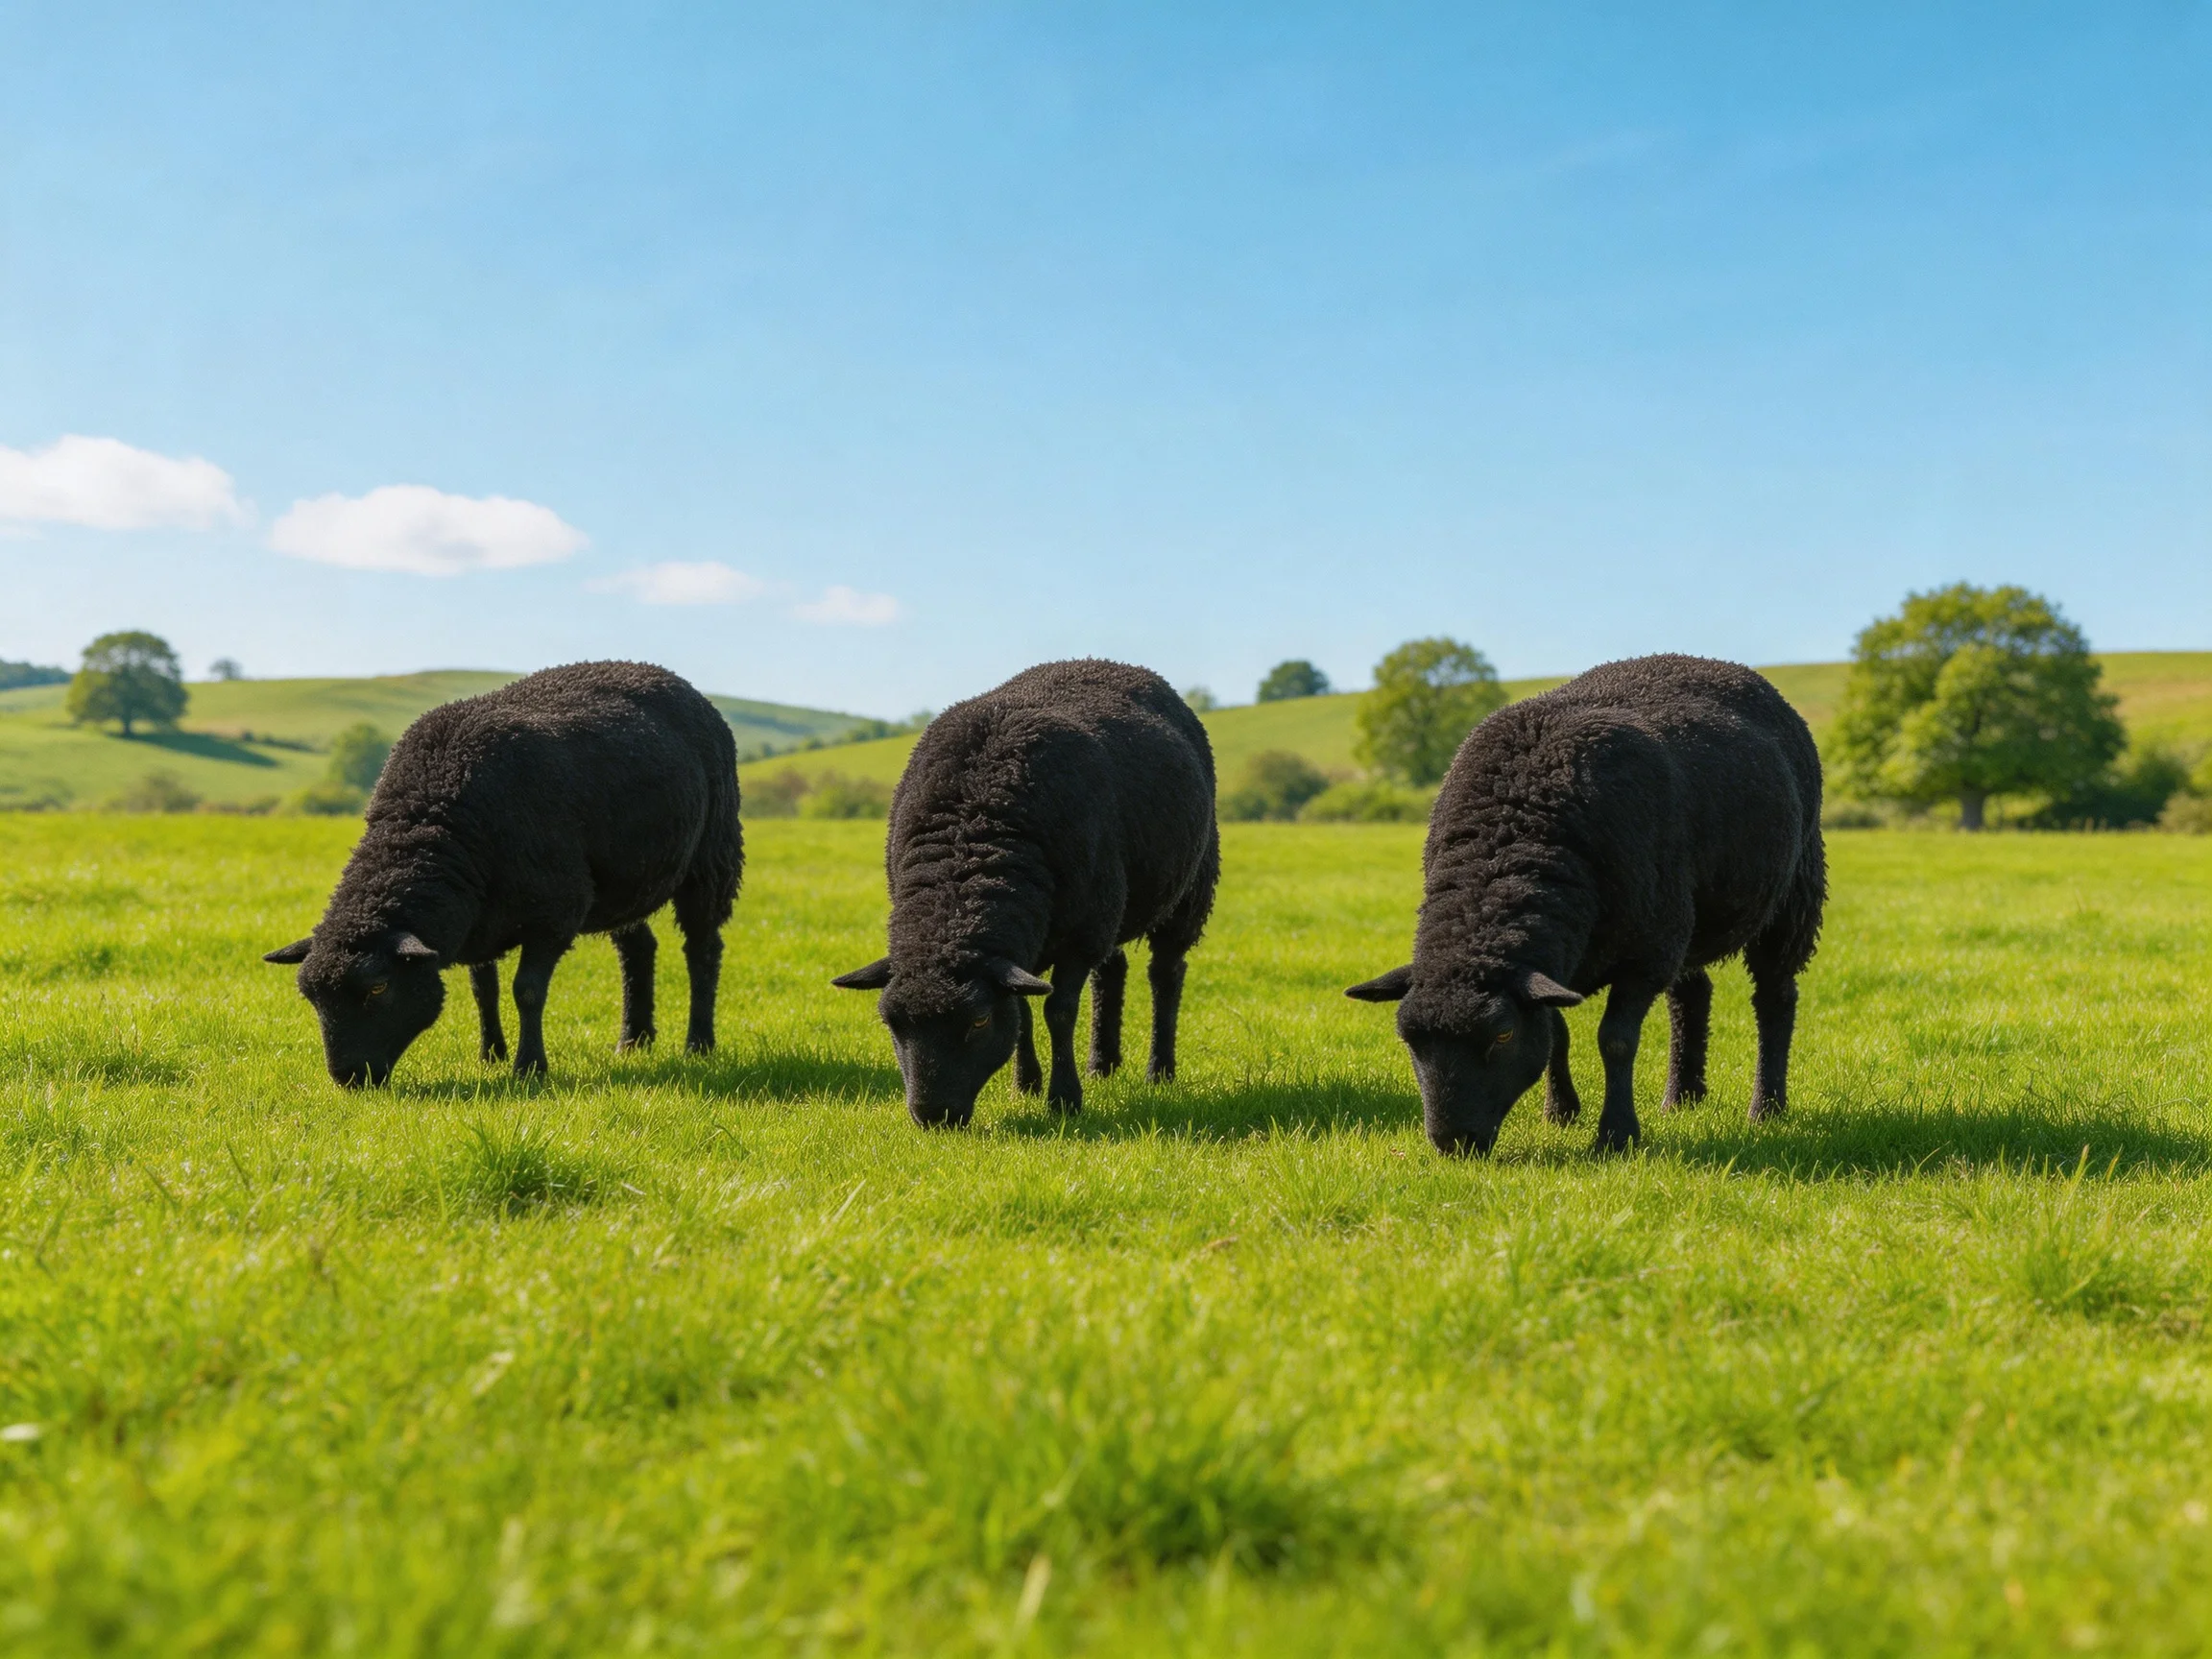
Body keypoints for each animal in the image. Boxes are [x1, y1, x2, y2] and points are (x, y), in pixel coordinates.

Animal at [264, 661, 743, 1085]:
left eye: (378, 987)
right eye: (311, 997)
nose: (347, 1077)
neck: (432, 818)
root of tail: (668, 676)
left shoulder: (555, 913)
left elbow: (526, 991)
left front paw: (529, 1067)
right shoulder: (481, 918)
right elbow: (484, 989)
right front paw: (490, 1055)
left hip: (712, 857)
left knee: (703, 950)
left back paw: (699, 1044)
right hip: (623, 881)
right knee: (638, 948)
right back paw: (633, 1040)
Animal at [833, 658, 1219, 1127]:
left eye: (979, 1021)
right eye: (891, 1023)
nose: (933, 1117)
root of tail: (1109, 662)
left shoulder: (1079, 937)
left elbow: (1059, 1011)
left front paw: (1064, 1098)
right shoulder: (1036, 943)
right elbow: (1022, 1010)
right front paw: (1026, 1084)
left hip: (1188, 890)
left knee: (1166, 974)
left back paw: (1159, 1071)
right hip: (1112, 907)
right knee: (1112, 970)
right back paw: (1103, 1064)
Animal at [1346, 654, 1825, 1155]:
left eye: (1503, 1034)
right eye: (1409, 1039)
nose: (1454, 1143)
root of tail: (1721, 664)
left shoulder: (1645, 954)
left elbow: (1615, 1041)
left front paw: (1616, 1134)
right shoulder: (1560, 965)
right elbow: (1556, 1033)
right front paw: (1560, 1112)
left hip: (1791, 894)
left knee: (1774, 997)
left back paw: (1767, 1106)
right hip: (1685, 918)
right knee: (1692, 995)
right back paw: (1682, 1098)